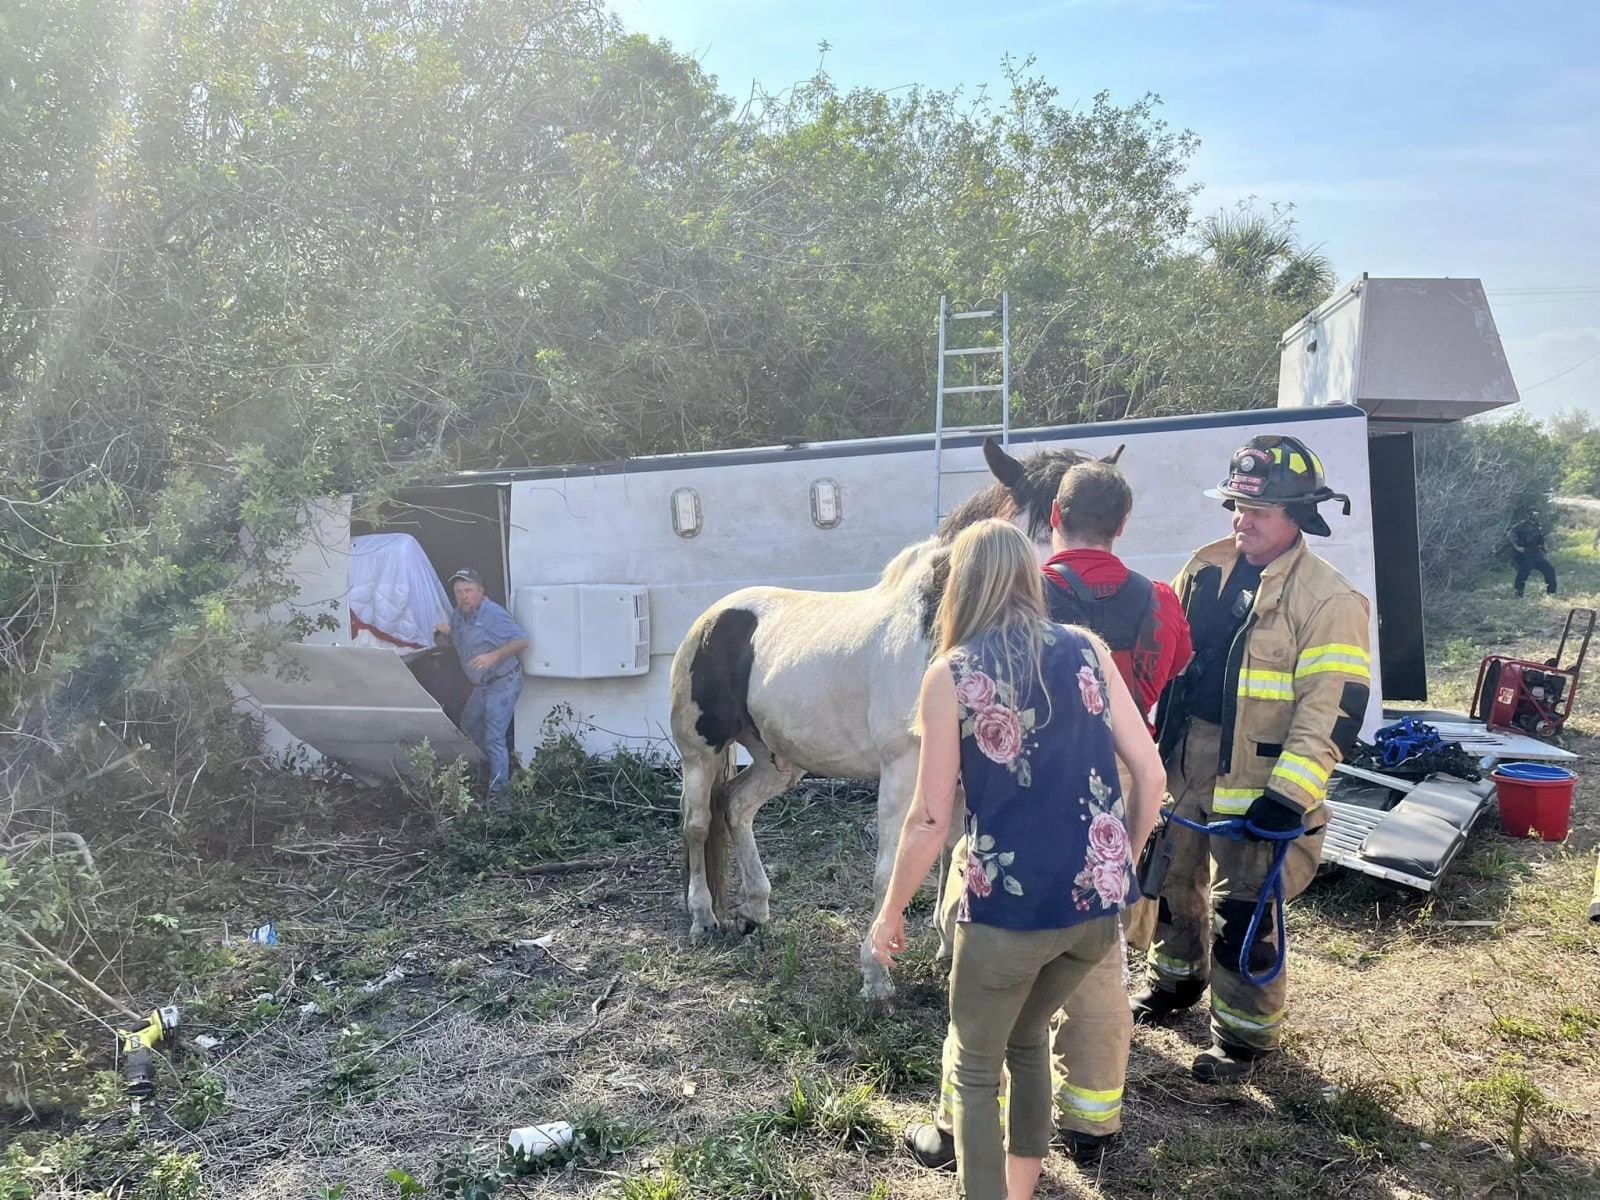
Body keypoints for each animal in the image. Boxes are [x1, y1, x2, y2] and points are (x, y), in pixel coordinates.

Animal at [668, 438, 1120, 998]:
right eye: (1050, 539)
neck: (935, 635)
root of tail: (713, 618)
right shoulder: (903, 771)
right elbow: (890, 871)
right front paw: (876, 974)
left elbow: (955, 858)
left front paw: (948, 947)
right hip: (700, 753)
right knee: (697, 822)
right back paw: (703, 918)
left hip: (779, 761)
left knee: (736, 806)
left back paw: (755, 910)